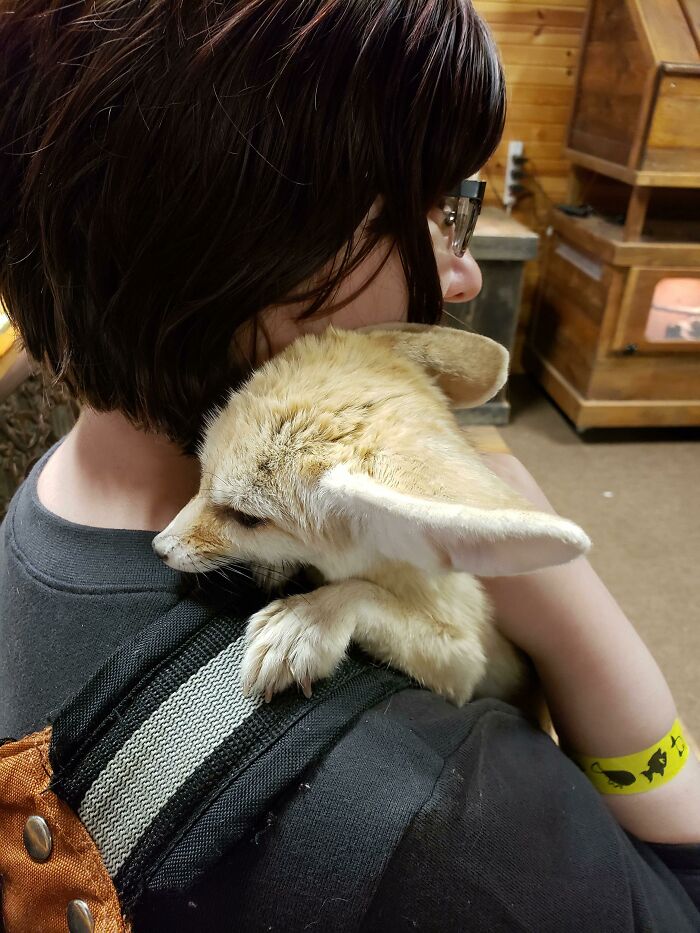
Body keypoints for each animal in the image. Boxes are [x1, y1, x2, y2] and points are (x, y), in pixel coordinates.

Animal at [153, 324, 590, 710]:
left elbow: (361, 593)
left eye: (246, 519)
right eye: (201, 473)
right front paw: (276, 568)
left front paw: (307, 619)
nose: (159, 548)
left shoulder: (466, 659)